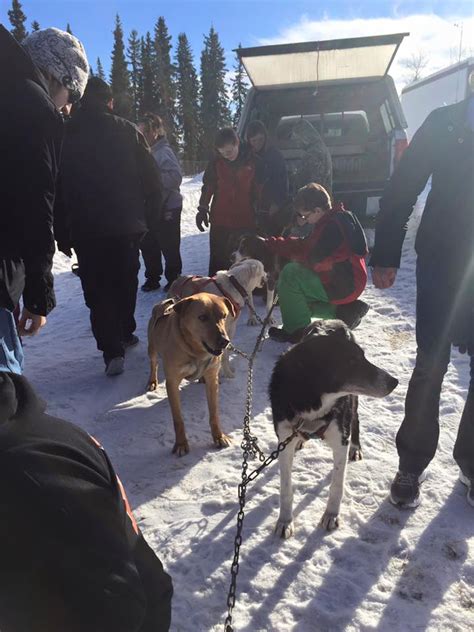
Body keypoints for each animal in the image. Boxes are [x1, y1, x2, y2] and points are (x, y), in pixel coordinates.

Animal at [146, 292, 235, 454]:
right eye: (202, 317)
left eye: (224, 316)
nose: (224, 341)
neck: (196, 352)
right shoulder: (172, 382)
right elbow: (178, 419)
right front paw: (181, 444)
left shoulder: (212, 379)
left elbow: (214, 413)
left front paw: (219, 437)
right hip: (152, 349)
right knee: (153, 363)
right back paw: (152, 381)